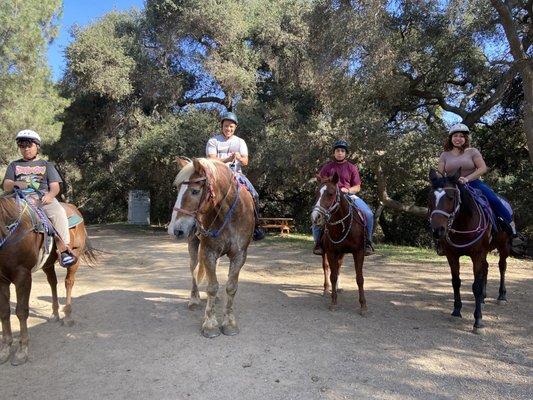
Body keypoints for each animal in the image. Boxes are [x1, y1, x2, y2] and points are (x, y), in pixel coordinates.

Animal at [0, 194, 94, 366]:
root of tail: (74, 208)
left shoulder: (23, 277)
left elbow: (21, 312)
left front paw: (22, 351)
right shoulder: (1, 279)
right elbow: (4, 312)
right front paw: (5, 349)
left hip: (75, 259)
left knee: (68, 282)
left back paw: (67, 316)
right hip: (48, 264)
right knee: (53, 283)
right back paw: (55, 314)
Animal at [168, 157, 256, 338]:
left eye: (195, 191)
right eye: (178, 189)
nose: (176, 229)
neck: (229, 215)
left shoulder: (239, 256)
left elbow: (231, 287)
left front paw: (229, 322)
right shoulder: (208, 252)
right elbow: (212, 287)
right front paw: (210, 324)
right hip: (194, 246)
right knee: (194, 269)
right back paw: (194, 299)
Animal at [310, 173, 368, 314]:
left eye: (331, 193)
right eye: (316, 193)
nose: (315, 217)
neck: (343, 224)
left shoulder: (359, 252)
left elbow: (359, 278)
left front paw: (363, 306)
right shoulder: (331, 252)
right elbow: (333, 275)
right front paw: (333, 302)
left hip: (342, 253)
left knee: (339, 266)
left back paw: (337, 287)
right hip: (325, 252)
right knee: (326, 268)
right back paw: (327, 289)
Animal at [426, 167, 510, 332]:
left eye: (451, 197)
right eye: (430, 198)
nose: (437, 230)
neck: (463, 222)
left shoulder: (477, 254)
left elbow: (475, 286)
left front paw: (478, 321)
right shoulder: (452, 255)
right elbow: (456, 282)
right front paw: (456, 310)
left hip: (503, 246)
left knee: (502, 266)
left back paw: (501, 296)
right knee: (486, 268)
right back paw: (483, 297)